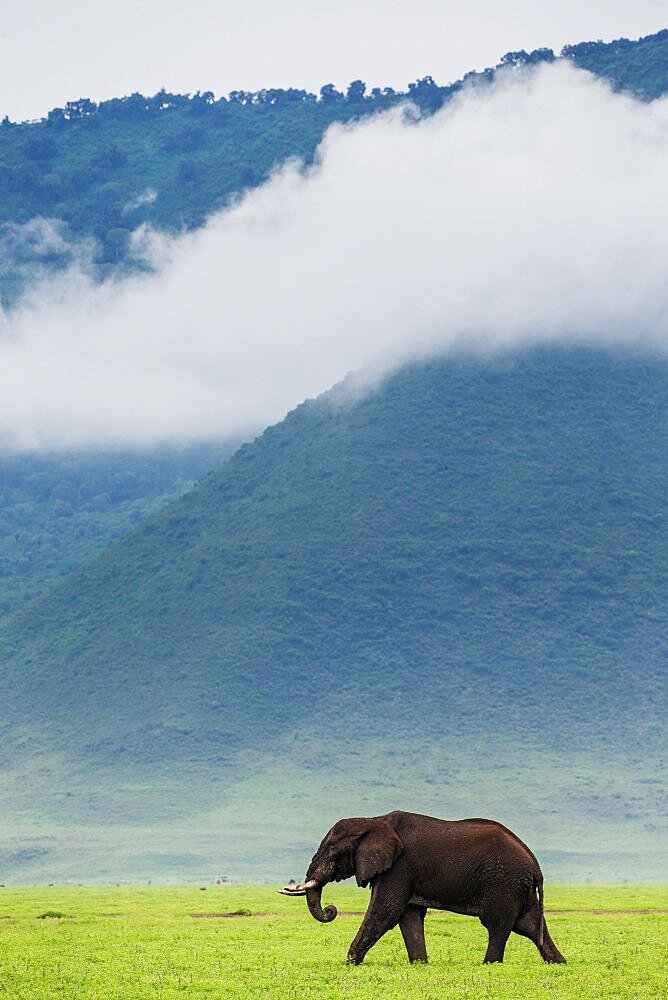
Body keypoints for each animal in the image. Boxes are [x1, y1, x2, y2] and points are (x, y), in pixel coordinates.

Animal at [280, 808, 568, 964]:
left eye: (331, 849)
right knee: (529, 925)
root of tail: (535, 864)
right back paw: (559, 964)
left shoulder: (399, 866)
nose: (331, 910)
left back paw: (488, 965)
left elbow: (386, 912)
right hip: (517, 886)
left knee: (498, 925)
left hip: (503, 882)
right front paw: (420, 964)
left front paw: (350, 964)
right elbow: (408, 917)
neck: (373, 820)